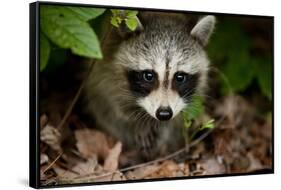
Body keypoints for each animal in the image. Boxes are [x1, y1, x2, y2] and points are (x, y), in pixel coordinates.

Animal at [80, 11, 215, 160]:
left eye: (180, 77)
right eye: (148, 76)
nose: (164, 114)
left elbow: (174, 121)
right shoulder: (108, 69)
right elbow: (116, 102)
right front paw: (139, 124)